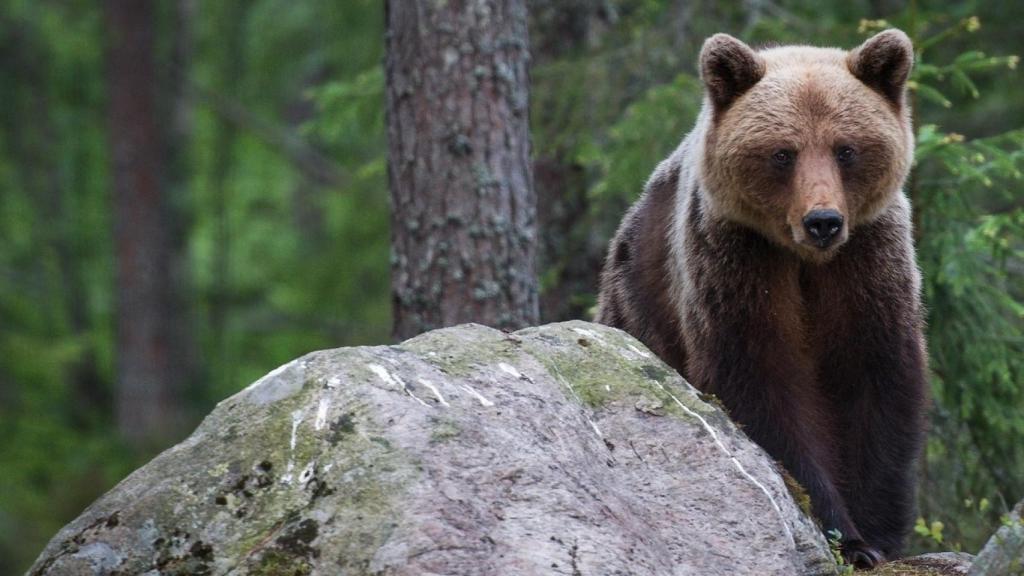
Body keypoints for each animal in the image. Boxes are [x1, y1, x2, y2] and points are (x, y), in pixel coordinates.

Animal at [595, 29, 928, 569]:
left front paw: (874, 537)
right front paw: (845, 534)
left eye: (846, 149)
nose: (822, 221)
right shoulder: (738, 262)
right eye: (783, 153)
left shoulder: (866, 264)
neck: (804, 262)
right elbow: (762, 385)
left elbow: (874, 384)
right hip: (640, 303)